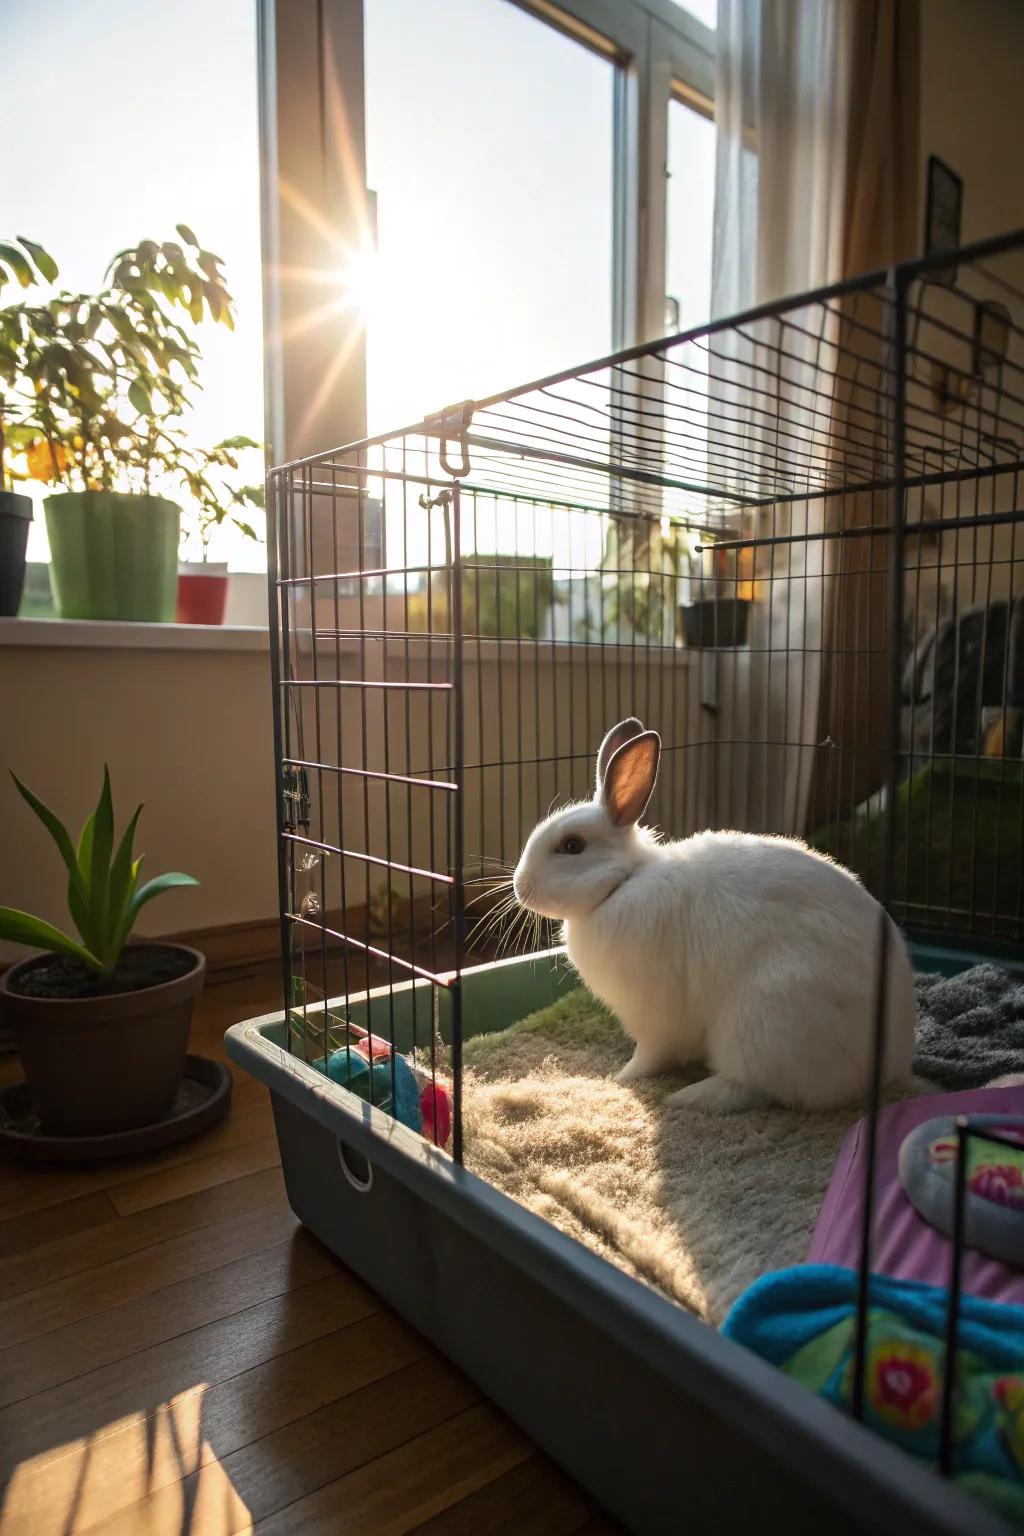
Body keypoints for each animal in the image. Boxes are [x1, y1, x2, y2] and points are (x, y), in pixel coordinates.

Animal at [511, 717, 917, 1113]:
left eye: (572, 846)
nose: (520, 887)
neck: (622, 882)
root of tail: (890, 1065)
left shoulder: (654, 1015)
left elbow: (650, 1055)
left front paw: (621, 1077)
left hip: (763, 1021)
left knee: (754, 1088)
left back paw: (689, 1096)